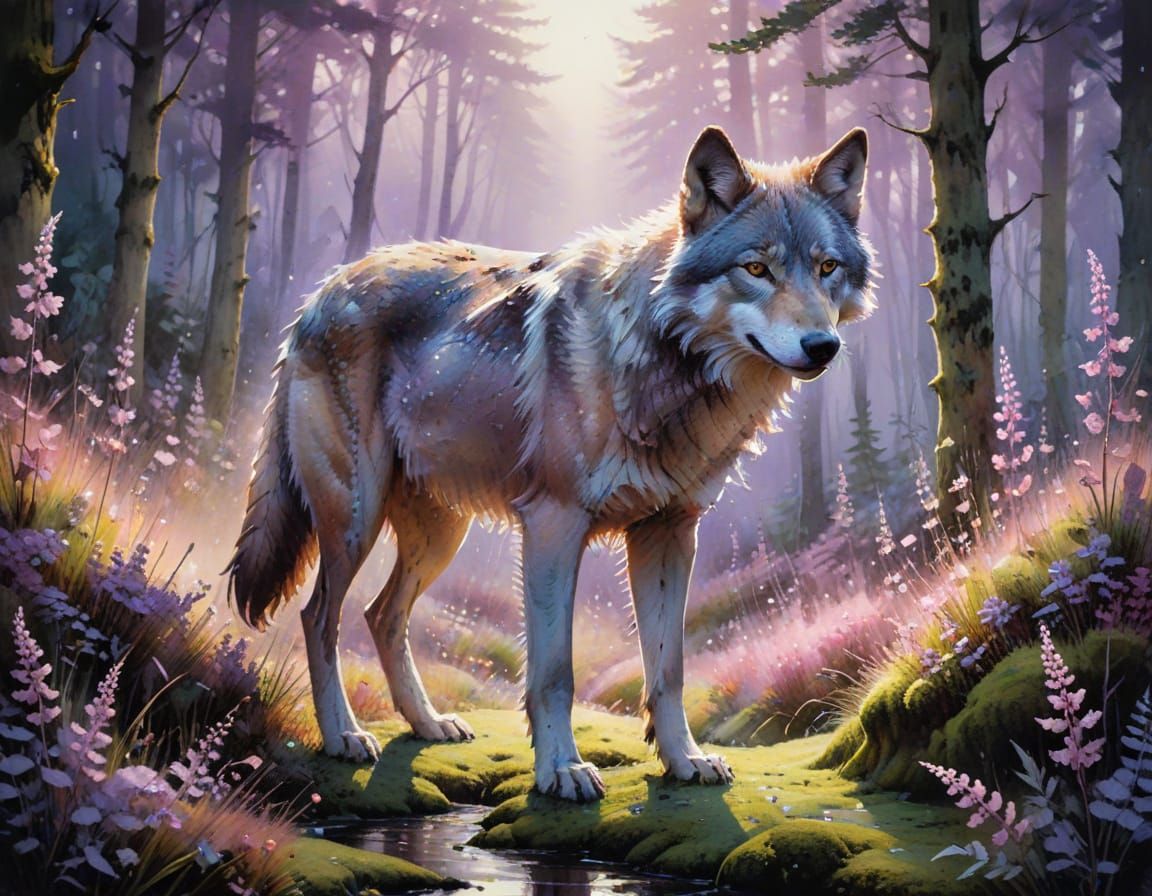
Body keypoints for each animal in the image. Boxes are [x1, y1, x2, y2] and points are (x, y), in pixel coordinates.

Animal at [228, 125, 874, 802]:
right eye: (756, 269)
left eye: (827, 268)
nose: (822, 346)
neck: (658, 359)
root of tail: (320, 294)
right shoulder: (552, 526)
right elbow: (554, 672)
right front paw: (562, 769)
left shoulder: (670, 533)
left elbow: (667, 668)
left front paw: (684, 760)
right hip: (356, 518)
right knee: (318, 616)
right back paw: (343, 736)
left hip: (439, 535)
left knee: (381, 615)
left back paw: (428, 724)